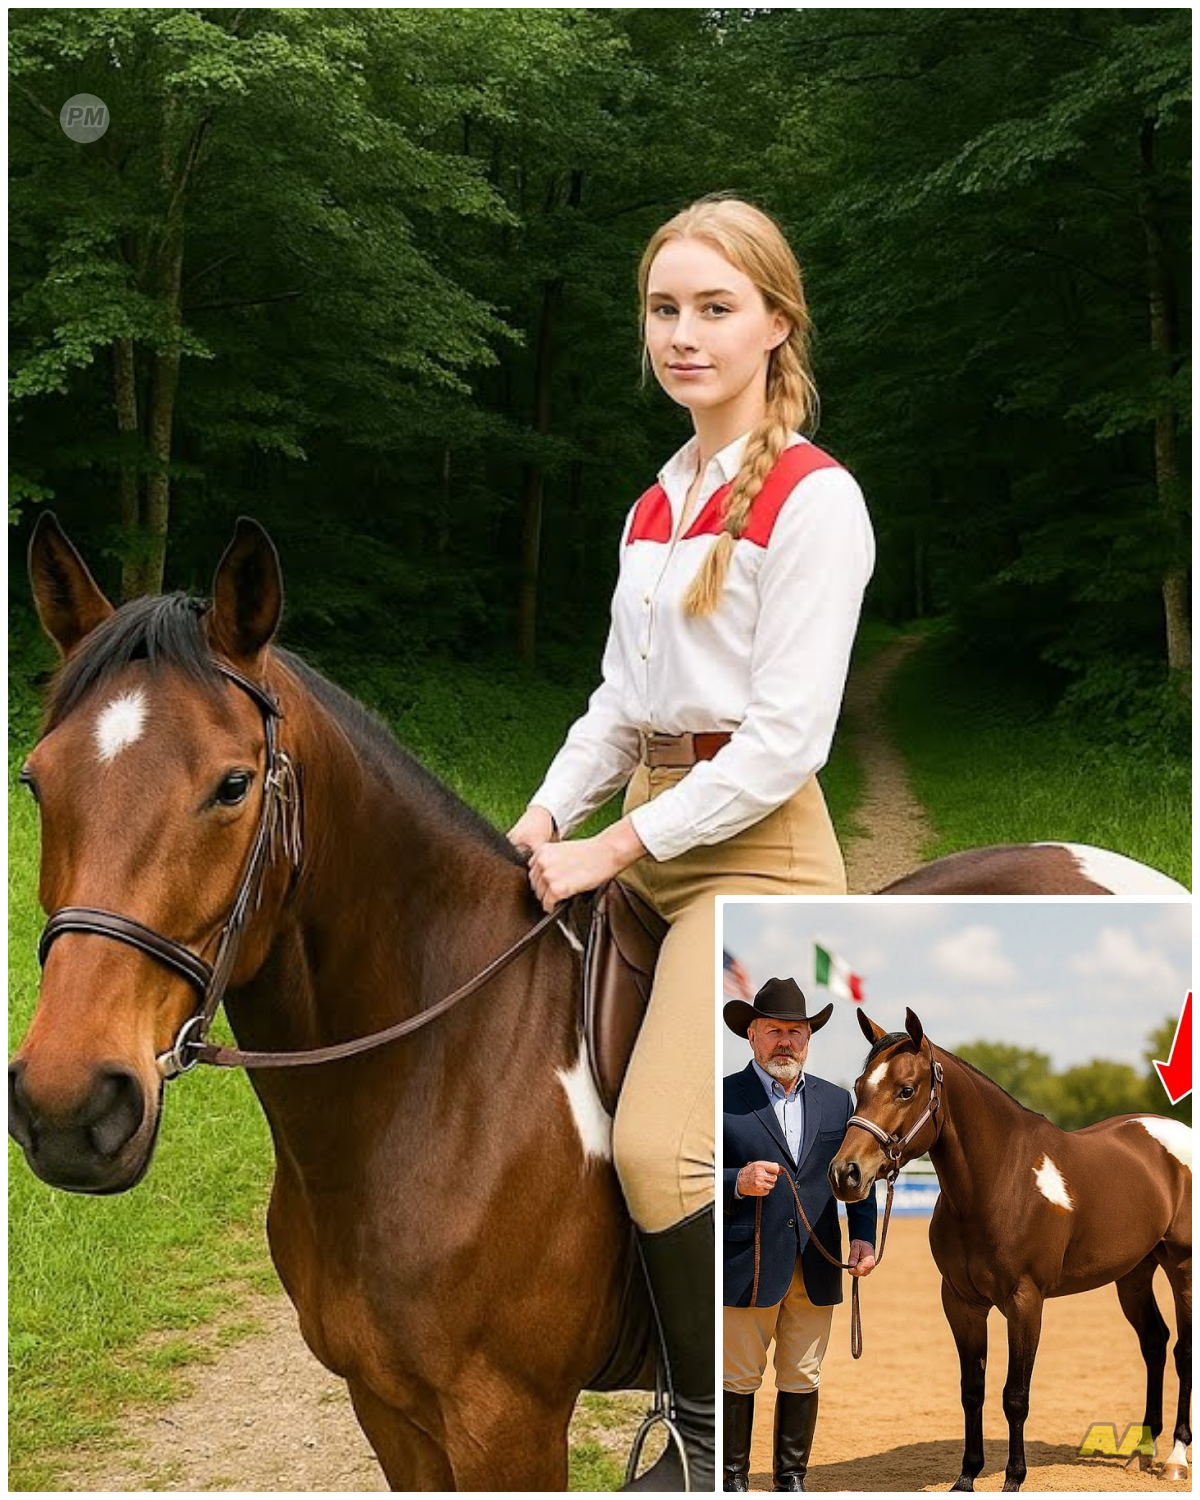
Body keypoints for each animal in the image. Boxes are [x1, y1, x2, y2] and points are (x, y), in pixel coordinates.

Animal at [8, 514, 654, 1491]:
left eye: (233, 786)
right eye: (37, 781)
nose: (68, 1108)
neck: (441, 1080)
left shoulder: (511, 1425)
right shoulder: (387, 1408)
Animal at [829, 1007, 1192, 1492]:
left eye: (906, 1089)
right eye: (858, 1087)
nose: (845, 1173)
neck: (998, 1179)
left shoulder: (1024, 1302)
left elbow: (1015, 1395)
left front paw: (1013, 1479)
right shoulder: (961, 1302)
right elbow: (972, 1390)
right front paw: (966, 1476)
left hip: (1181, 1267)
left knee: (1182, 1350)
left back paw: (1175, 1457)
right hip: (1133, 1273)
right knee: (1154, 1342)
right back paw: (1142, 1451)